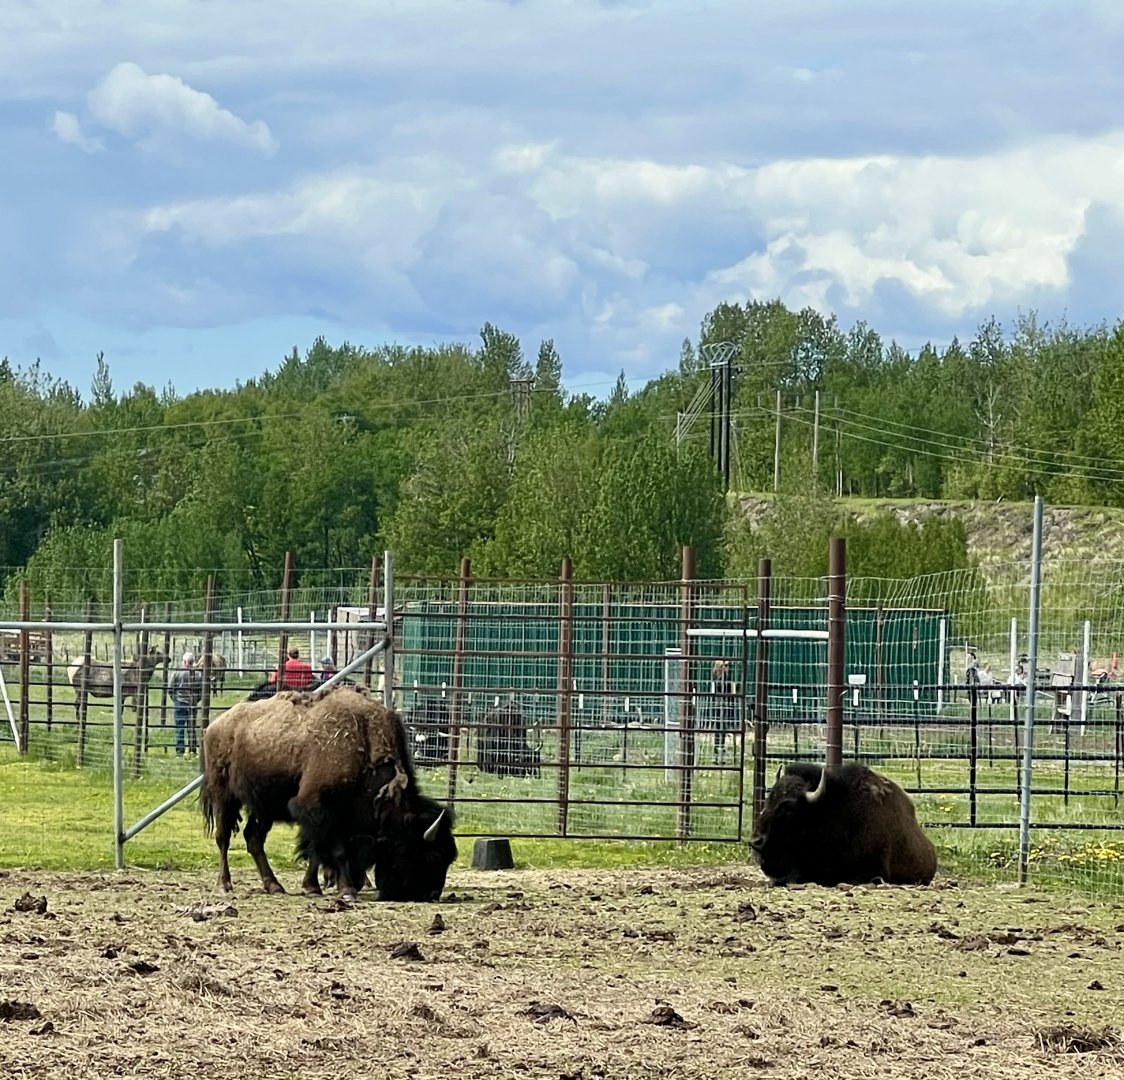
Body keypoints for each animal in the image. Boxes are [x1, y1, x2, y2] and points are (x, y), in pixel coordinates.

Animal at [200, 684, 457, 901]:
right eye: (431, 854)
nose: (433, 893)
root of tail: (214, 726)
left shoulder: (328, 817)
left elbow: (317, 851)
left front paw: (313, 887)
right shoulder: (317, 808)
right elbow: (335, 850)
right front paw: (346, 890)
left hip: (265, 807)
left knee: (253, 838)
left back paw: (274, 886)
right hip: (223, 795)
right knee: (223, 837)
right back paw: (224, 885)